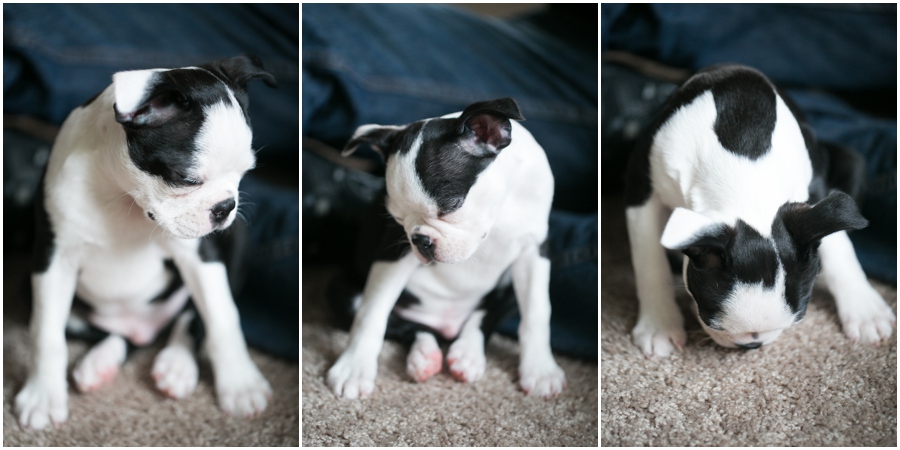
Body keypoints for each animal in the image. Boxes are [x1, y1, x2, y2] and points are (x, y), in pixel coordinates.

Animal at [14, 55, 278, 428]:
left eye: (245, 173)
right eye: (187, 179)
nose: (226, 207)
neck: (123, 197)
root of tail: (146, 328)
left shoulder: (198, 253)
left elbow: (222, 315)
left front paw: (240, 384)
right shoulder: (53, 259)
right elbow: (46, 332)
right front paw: (42, 396)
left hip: (236, 243)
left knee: (188, 318)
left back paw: (176, 364)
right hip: (33, 284)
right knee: (118, 335)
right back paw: (100, 361)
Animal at [324, 97, 568, 398]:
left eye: (451, 206)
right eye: (397, 218)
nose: (420, 240)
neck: (499, 208)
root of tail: (446, 325)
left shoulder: (535, 249)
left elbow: (536, 311)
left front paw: (541, 369)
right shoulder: (392, 253)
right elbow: (372, 312)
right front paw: (354, 367)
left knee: (484, 317)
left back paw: (468, 353)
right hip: (343, 292)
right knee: (410, 328)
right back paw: (425, 355)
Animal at [624, 64, 892, 358]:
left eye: (798, 317)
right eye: (711, 319)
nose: (753, 344)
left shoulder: (816, 190)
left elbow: (838, 245)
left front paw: (864, 309)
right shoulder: (641, 187)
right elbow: (649, 259)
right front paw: (659, 326)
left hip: (852, 160)